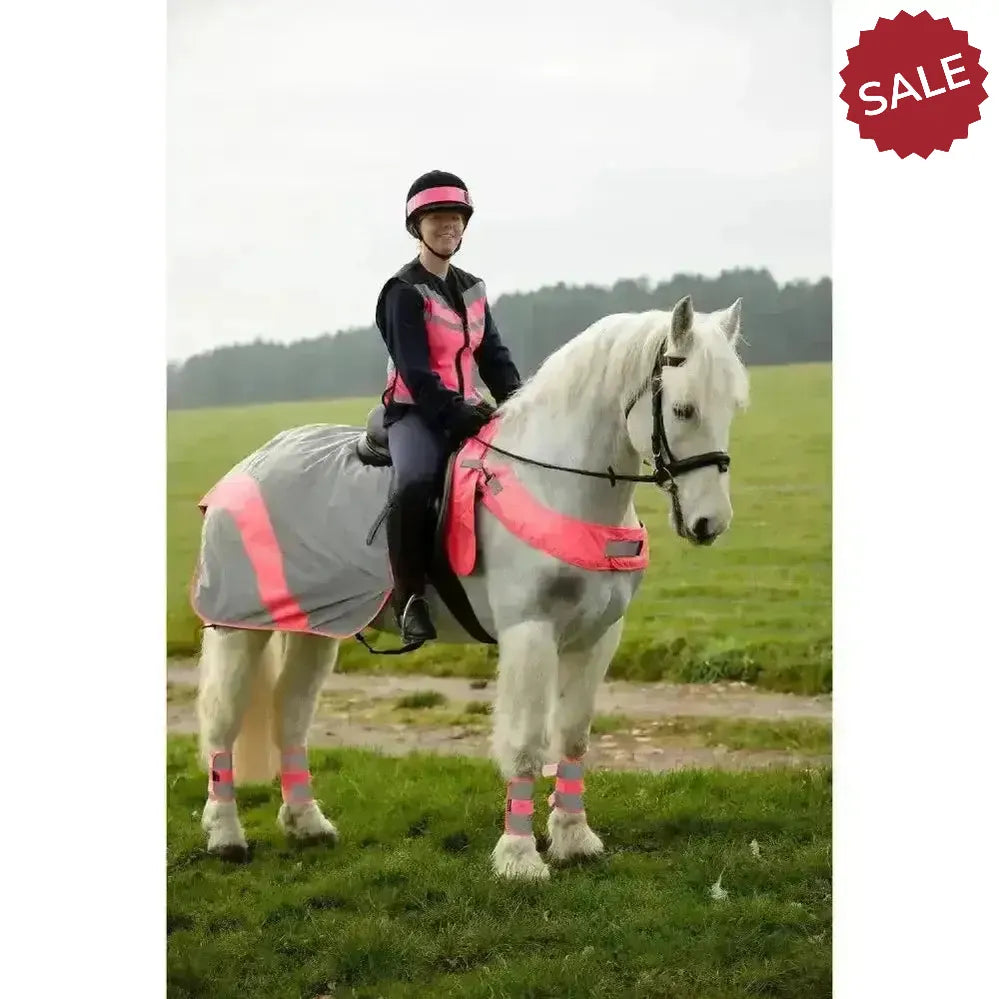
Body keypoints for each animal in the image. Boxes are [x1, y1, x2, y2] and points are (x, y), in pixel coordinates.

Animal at [193, 294, 749, 880]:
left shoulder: (596, 638)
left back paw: (307, 824)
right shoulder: (530, 633)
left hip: (315, 630)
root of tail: (250, 465)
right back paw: (226, 836)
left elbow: (573, 736)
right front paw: (520, 858)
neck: (553, 483)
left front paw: (575, 839)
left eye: (733, 406)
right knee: (221, 724)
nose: (710, 523)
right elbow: (526, 744)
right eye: (684, 409)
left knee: (291, 717)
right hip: (240, 629)